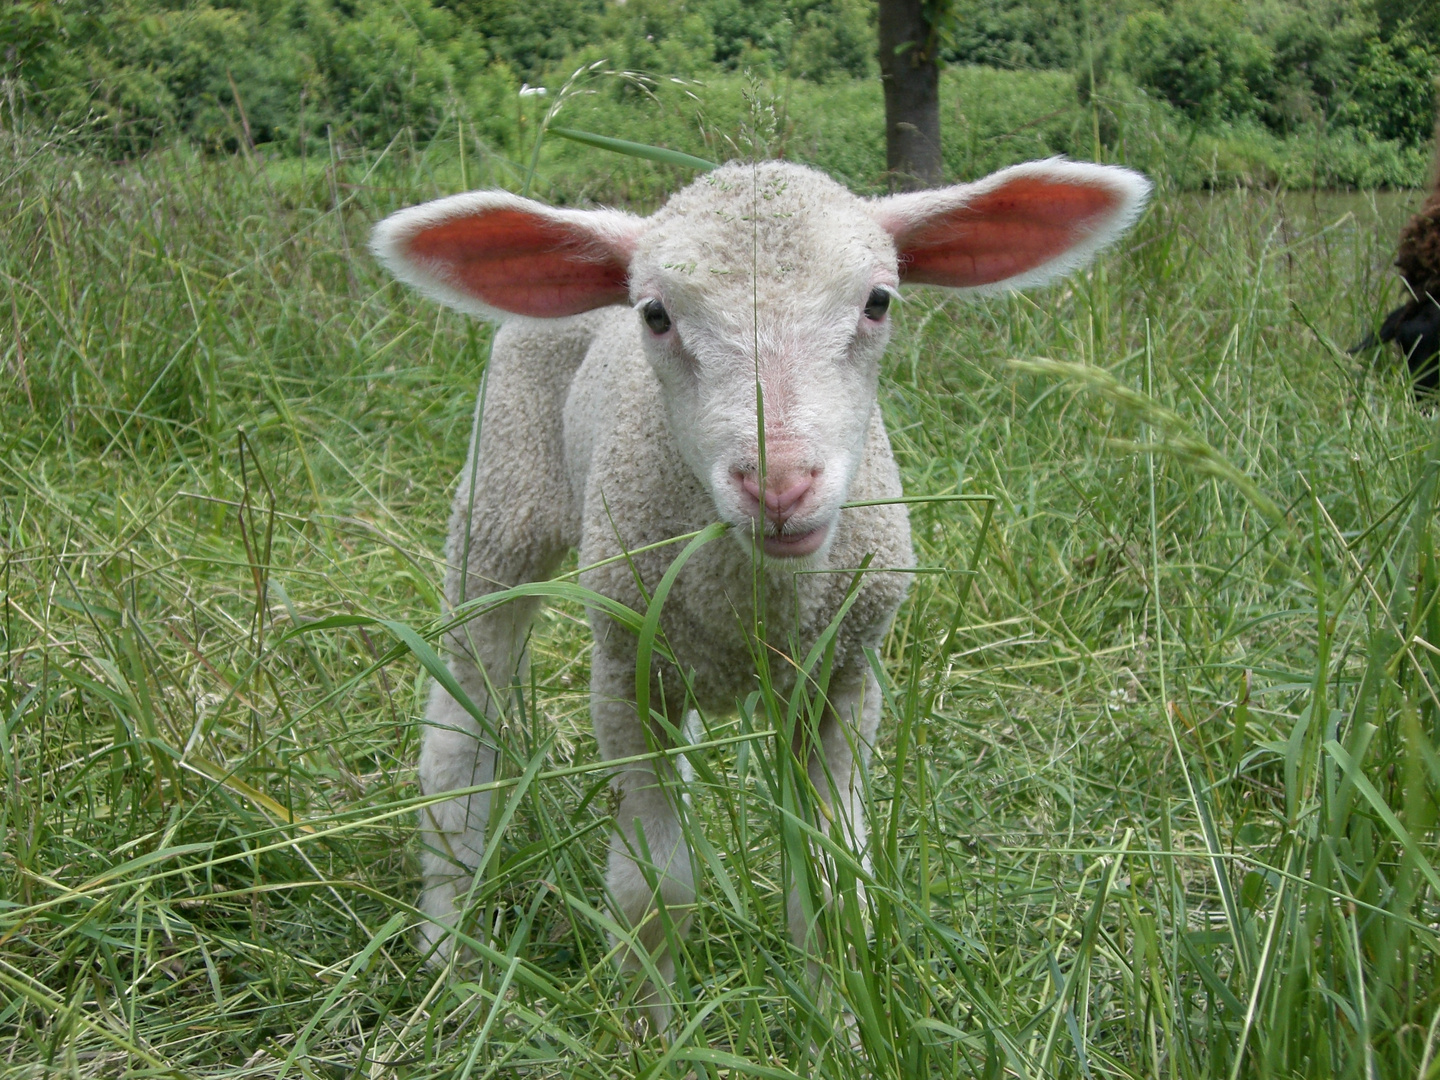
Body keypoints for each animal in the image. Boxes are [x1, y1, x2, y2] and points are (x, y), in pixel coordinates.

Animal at [371, 158, 1146, 1025]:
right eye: (657, 315)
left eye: (879, 301)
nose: (779, 484)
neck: (759, 597)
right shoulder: (625, 672)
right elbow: (653, 890)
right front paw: (652, 1033)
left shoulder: (843, 676)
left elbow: (838, 889)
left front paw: (839, 1027)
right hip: (502, 496)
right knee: (459, 739)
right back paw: (449, 956)